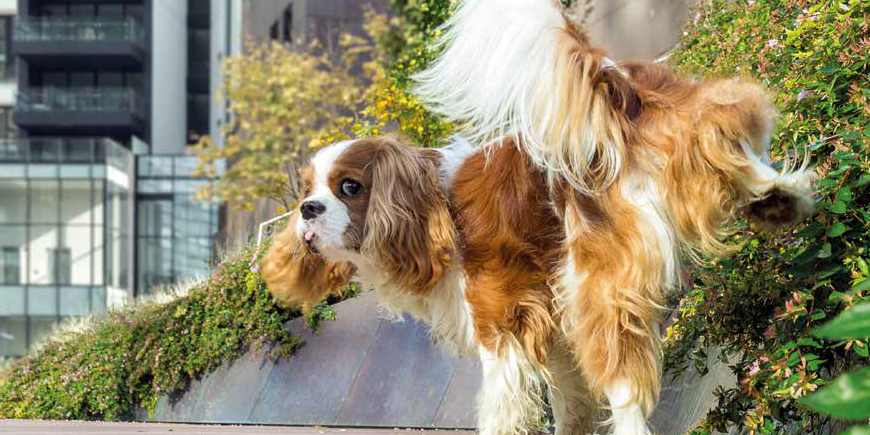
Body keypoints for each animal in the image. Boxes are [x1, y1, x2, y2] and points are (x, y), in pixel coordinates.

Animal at [258, 0, 816, 435]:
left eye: (350, 188)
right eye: (307, 191)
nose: (307, 210)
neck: (433, 209)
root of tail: (610, 83)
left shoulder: (501, 324)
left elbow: (504, 408)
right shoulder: (554, 333)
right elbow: (570, 402)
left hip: (596, 283)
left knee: (625, 388)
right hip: (683, 135)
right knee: (725, 136)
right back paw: (781, 198)